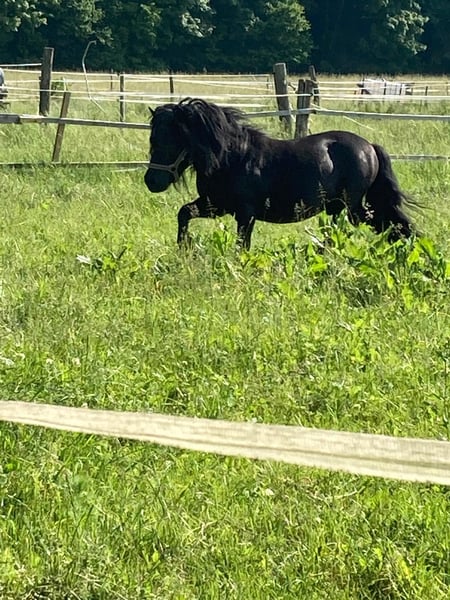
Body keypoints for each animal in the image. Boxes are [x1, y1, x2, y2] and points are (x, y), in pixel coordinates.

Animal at [144, 97, 416, 249]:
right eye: (152, 139)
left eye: (169, 140)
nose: (151, 181)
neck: (231, 158)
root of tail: (369, 146)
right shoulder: (216, 205)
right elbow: (184, 213)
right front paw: (185, 248)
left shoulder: (245, 213)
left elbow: (242, 246)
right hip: (338, 208)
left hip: (354, 208)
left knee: (388, 224)